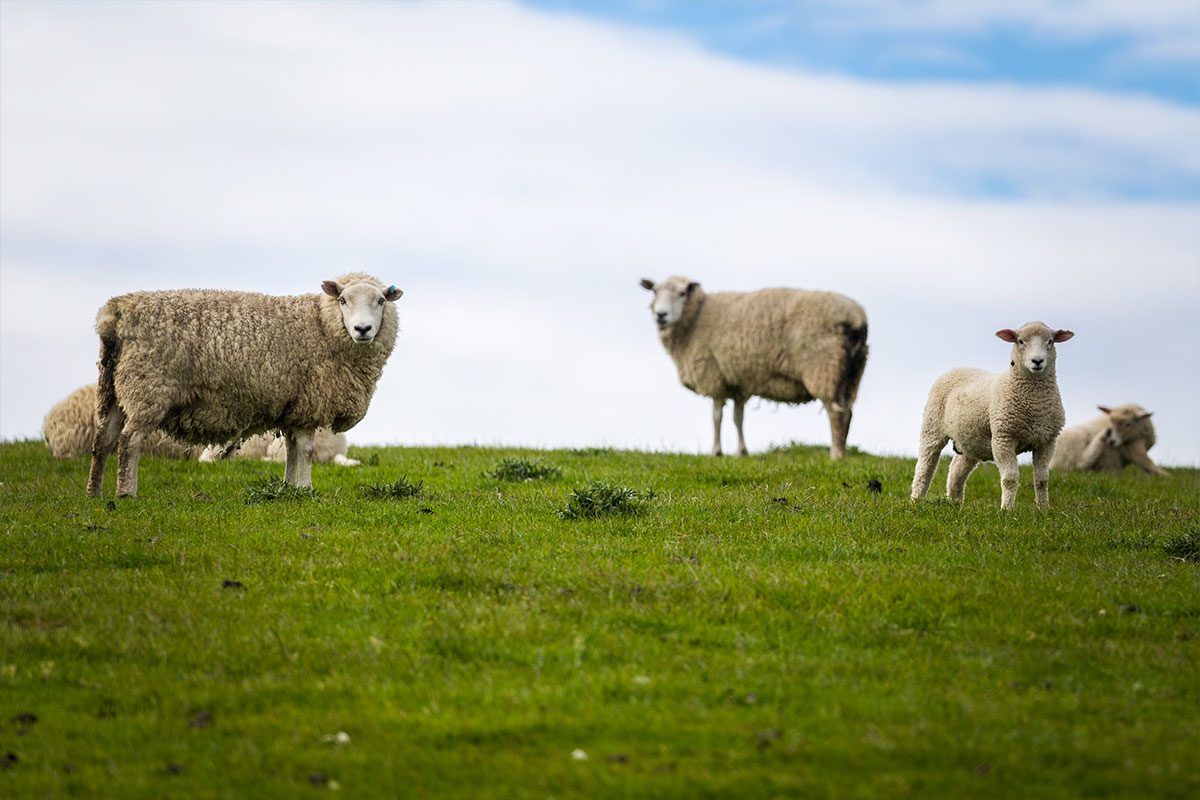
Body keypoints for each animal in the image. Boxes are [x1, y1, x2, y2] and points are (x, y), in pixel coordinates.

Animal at [87, 273, 402, 497]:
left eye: (381, 301)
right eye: (343, 300)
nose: (363, 329)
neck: (321, 326)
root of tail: (115, 312)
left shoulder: (293, 406)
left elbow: (291, 449)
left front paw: (289, 488)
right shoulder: (309, 404)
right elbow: (306, 450)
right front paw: (305, 488)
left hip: (114, 389)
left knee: (103, 440)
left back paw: (95, 494)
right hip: (147, 388)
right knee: (129, 441)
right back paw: (126, 493)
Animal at [639, 276, 868, 459]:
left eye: (682, 293)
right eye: (655, 291)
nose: (661, 315)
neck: (696, 318)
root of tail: (856, 319)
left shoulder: (714, 376)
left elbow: (716, 416)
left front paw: (716, 452)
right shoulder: (738, 383)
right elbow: (738, 418)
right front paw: (742, 452)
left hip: (824, 367)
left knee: (835, 412)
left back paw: (835, 455)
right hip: (851, 373)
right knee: (847, 411)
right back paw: (843, 451)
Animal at [910, 322, 1074, 510]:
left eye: (1050, 341)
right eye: (1020, 341)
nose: (1037, 361)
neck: (1034, 402)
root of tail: (957, 367)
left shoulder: (1047, 441)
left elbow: (1042, 480)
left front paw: (1044, 509)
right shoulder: (1003, 438)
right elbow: (1010, 479)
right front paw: (1007, 509)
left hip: (970, 440)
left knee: (956, 471)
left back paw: (955, 504)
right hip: (932, 427)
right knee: (924, 467)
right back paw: (916, 500)